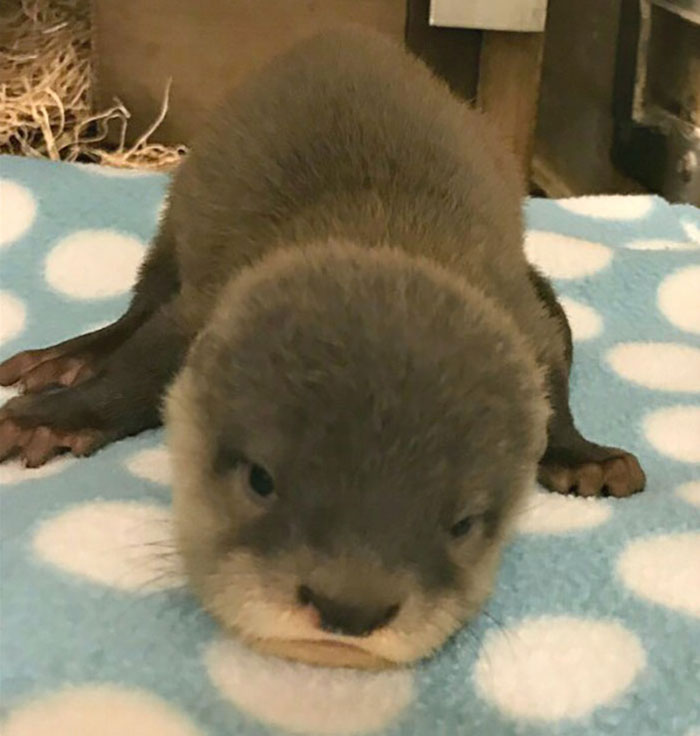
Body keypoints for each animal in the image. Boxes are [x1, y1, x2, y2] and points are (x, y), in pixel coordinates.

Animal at [0, 28, 644, 668]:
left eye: (461, 523)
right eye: (261, 479)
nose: (350, 607)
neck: (384, 235)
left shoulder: (528, 319)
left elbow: (554, 380)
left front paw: (584, 456)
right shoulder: (203, 304)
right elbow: (135, 369)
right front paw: (52, 418)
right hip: (177, 214)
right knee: (141, 302)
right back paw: (65, 360)